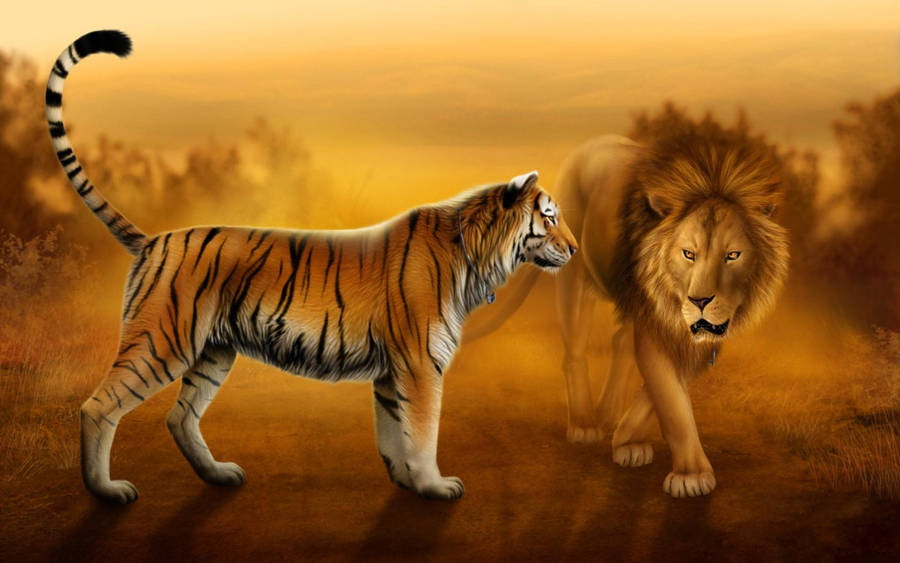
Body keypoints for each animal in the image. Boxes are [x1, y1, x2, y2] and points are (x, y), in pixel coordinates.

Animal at [45, 30, 578, 504]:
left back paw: (218, 475)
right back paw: (106, 491)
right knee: (97, 407)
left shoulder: (393, 371)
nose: (575, 249)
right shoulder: (419, 364)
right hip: (161, 341)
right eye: (550, 218)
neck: (475, 256)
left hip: (213, 351)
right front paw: (435, 486)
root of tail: (153, 239)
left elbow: (393, 433)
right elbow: (423, 431)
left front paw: (407, 483)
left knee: (179, 417)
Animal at [466, 128, 789, 497]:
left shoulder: (701, 333)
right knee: (574, 353)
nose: (700, 301)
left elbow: (662, 387)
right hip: (574, 273)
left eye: (732, 255)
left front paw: (626, 438)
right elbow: (671, 401)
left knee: (620, 339)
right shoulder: (654, 324)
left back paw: (608, 414)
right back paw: (585, 424)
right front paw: (690, 475)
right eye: (688, 254)